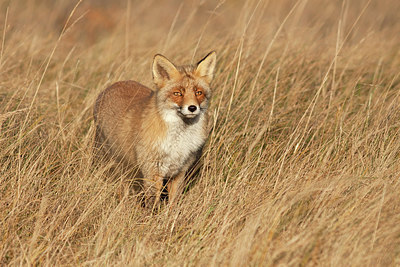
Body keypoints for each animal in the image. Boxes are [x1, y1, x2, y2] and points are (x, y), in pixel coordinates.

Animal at [93, 51, 216, 208]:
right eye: (177, 93)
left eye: (198, 92)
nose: (192, 108)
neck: (178, 141)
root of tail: (113, 85)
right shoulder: (152, 172)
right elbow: (153, 204)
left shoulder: (179, 172)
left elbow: (173, 203)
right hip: (112, 162)